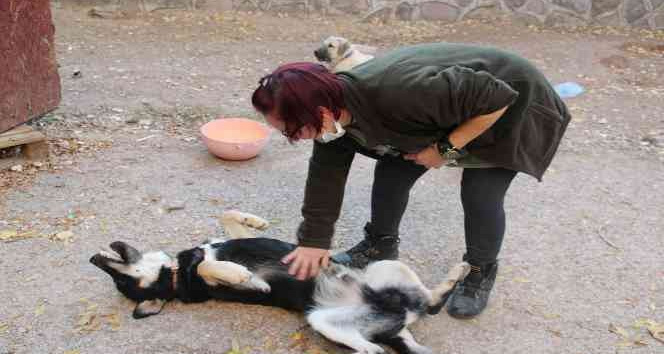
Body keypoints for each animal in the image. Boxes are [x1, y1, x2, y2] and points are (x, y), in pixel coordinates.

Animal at [91, 210, 470, 354]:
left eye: (117, 276)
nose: (94, 259)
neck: (172, 274)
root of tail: (397, 321)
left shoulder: (221, 242)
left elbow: (227, 220)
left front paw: (253, 220)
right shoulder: (205, 280)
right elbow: (208, 269)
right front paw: (242, 275)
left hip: (385, 267)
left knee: (429, 301)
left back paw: (458, 272)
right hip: (323, 320)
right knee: (379, 341)